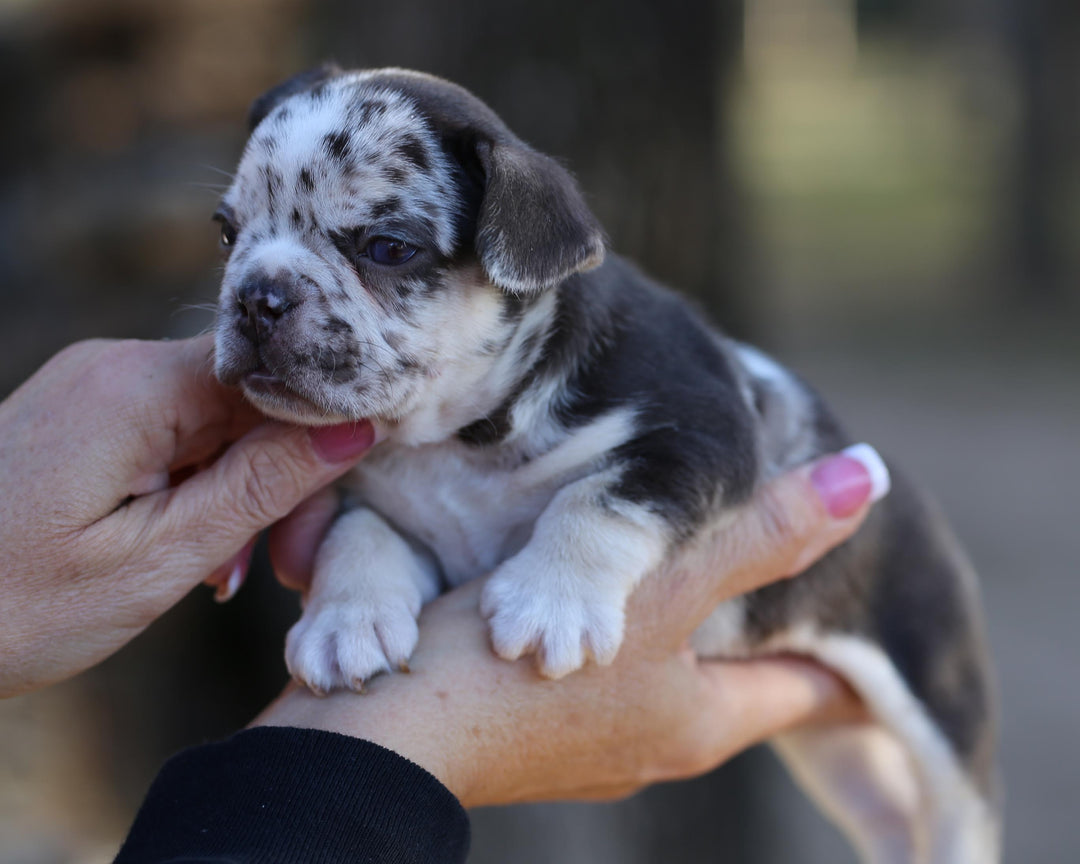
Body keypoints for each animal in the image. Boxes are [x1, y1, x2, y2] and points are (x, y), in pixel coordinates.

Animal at [212, 64, 1002, 859]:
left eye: (387, 247)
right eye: (226, 232)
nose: (257, 295)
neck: (454, 438)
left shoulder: (704, 432)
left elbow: (599, 496)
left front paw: (551, 600)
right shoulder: (372, 488)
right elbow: (359, 531)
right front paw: (347, 620)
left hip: (933, 682)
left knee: (957, 804)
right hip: (843, 757)